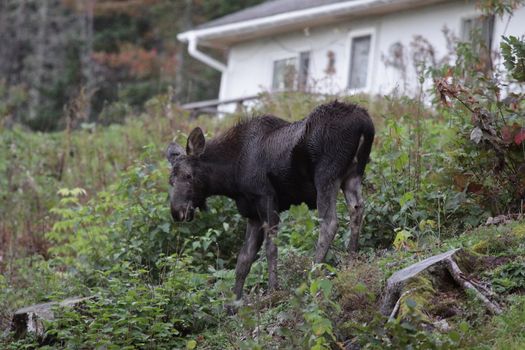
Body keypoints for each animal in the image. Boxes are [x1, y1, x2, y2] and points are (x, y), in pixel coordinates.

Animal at [166, 100, 374, 300]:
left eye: (188, 176)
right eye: (171, 181)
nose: (177, 212)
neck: (230, 176)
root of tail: (365, 122)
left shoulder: (266, 198)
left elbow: (270, 248)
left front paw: (273, 289)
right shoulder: (252, 214)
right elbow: (244, 259)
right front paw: (233, 303)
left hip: (326, 176)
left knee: (329, 223)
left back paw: (314, 273)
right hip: (352, 175)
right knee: (357, 209)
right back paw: (351, 258)